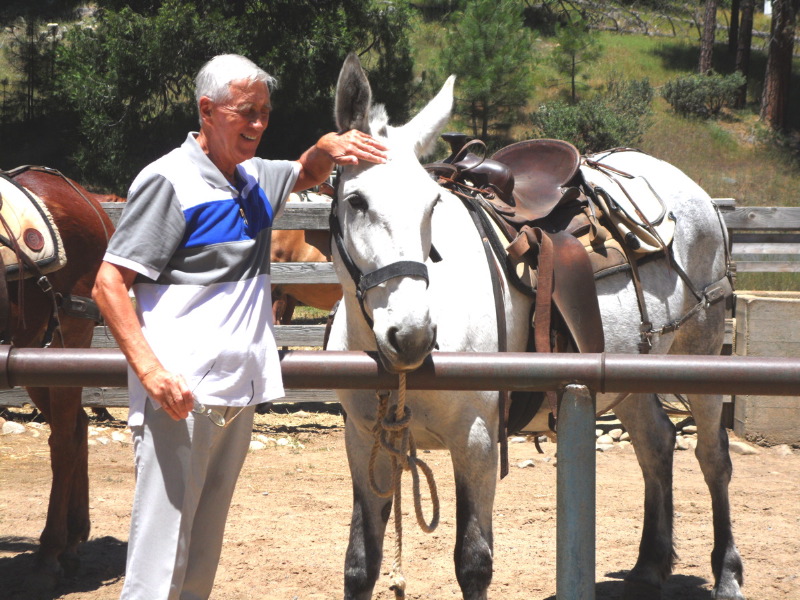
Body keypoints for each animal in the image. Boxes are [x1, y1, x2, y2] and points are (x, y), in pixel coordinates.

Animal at [2, 166, 114, 588]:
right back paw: (73, 538)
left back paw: (52, 551)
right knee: (77, 426)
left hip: (71, 332)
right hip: (33, 350)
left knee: (65, 439)